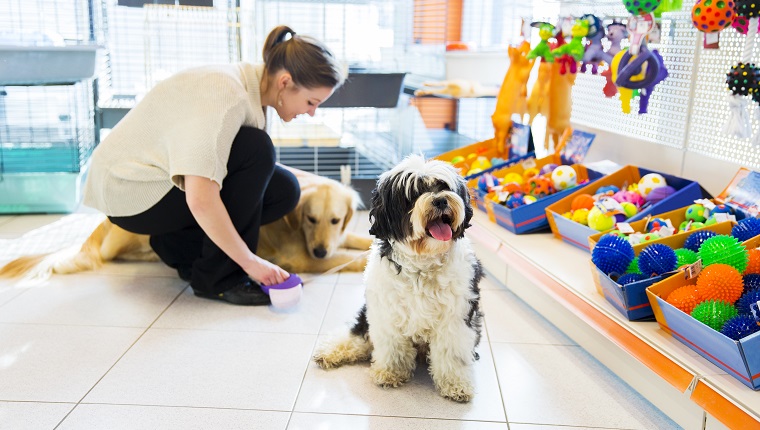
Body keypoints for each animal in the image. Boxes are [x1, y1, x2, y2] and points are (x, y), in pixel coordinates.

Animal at [314, 154, 480, 404]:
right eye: (413, 194)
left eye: (444, 187)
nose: (441, 201)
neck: (422, 264)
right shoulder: (386, 313)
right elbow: (391, 346)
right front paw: (390, 372)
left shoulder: (455, 319)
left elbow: (452, 355)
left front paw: (455, 385)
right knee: (360, 333)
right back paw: (333, 351)